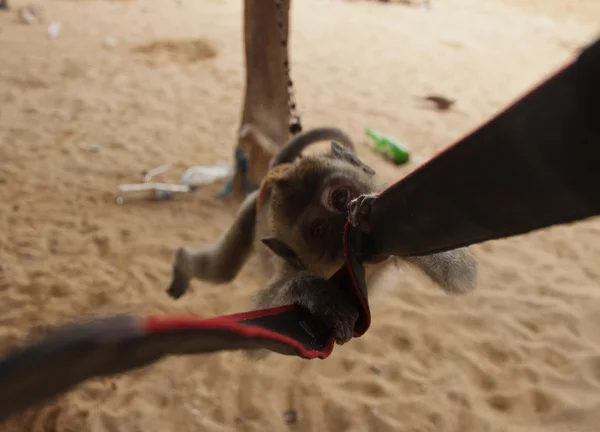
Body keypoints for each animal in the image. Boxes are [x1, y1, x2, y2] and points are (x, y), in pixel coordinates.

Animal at [168, 126, 478, 346]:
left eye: (340, 198)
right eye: (318, 230)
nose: (348, 227)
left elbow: (463, 277)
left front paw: (371, 216)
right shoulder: (292, 265)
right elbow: (261, 332)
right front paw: (315, 294)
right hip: (249, 212)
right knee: (222, 270)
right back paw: (182, 263)